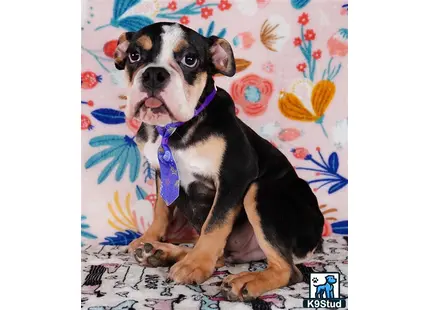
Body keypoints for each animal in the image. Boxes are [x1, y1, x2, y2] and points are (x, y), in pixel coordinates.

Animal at [114, 22, 322, 302]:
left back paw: (245, 281)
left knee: (287, 270)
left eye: (190, 60)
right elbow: (161, 210)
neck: (176, 128)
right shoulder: (163, 174)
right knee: (222, 256)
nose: (154, 75)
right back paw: (161, 252)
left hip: (261, 191)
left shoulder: (234, 177)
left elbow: (215, 224)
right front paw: (149, 238)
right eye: (134, 56)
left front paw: (195, 265)